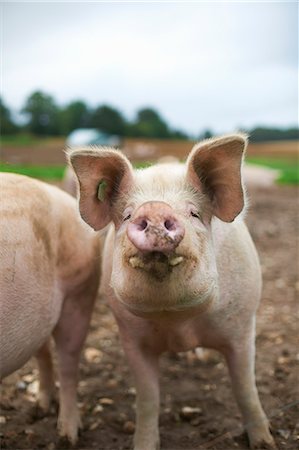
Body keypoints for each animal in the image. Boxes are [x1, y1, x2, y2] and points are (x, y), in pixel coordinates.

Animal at [69, 134, 276, 450]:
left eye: (194, 213)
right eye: (127, 215)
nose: (154, 208)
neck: (177, 322)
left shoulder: (242, 326)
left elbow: (245, 389)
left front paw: (265, 443)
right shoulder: (131, 338)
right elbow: (148, 398)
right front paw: (143, 444)